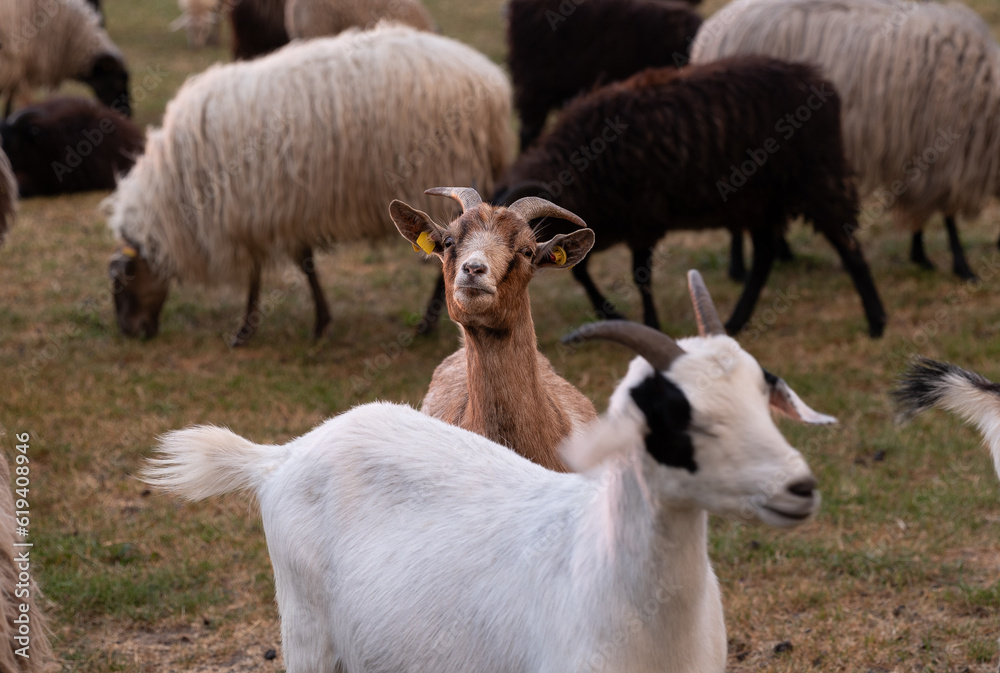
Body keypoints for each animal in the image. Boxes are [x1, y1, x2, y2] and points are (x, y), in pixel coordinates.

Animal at [497, 56, 887, 337]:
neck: (582, 163)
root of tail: (820, 83)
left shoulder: (642, 217)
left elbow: (640, 275)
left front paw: (649, 322)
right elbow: (582, 271)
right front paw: (609, 311)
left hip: (818, 177)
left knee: (847, 244)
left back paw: (876, 320)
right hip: (760, 201)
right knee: (764, 257)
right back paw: (736, 322)